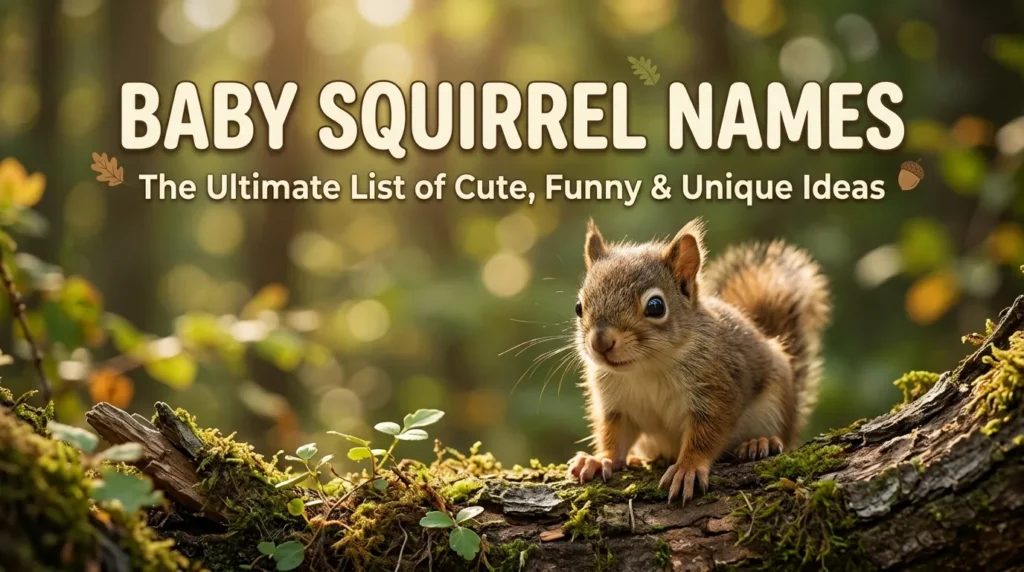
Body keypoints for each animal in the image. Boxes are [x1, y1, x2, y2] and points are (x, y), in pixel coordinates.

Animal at [566, 218, 830, 505]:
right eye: (578, 306)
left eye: (656, 306)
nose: (600, 343)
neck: (647, 368)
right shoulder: (617, 405)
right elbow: (615, 437)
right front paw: (599, 460)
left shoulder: (718, 389)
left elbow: (706, 435)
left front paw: (687, 468)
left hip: (777, 403)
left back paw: (760, 442)